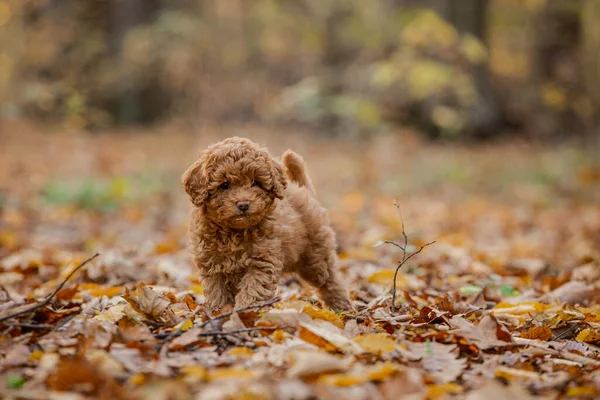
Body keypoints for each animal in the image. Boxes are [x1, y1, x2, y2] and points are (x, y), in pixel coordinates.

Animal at [182, 138, 352, 312]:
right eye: (224, 185)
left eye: (256, 183)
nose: (243, 204)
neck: (234, 232)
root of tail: (303, 189)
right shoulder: (212, 265)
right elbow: (217, 292)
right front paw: (219, 311)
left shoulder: (262, 262)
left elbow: (253, 289)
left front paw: (245, 311)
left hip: (315, 256)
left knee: (330, 280)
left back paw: (342, 308)